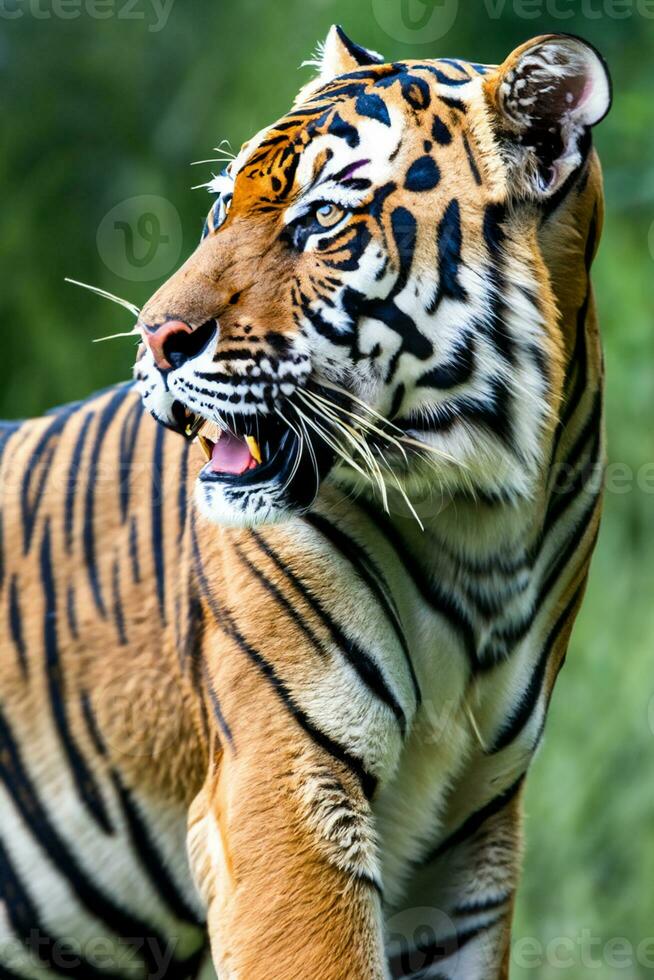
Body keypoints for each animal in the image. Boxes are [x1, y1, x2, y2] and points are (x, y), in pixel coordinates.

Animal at [0, 23, 612, 980]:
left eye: (322, 218)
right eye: (221, 209)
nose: (155, 336)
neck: (481, 521)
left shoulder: (467, 845)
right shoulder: (280, 789)